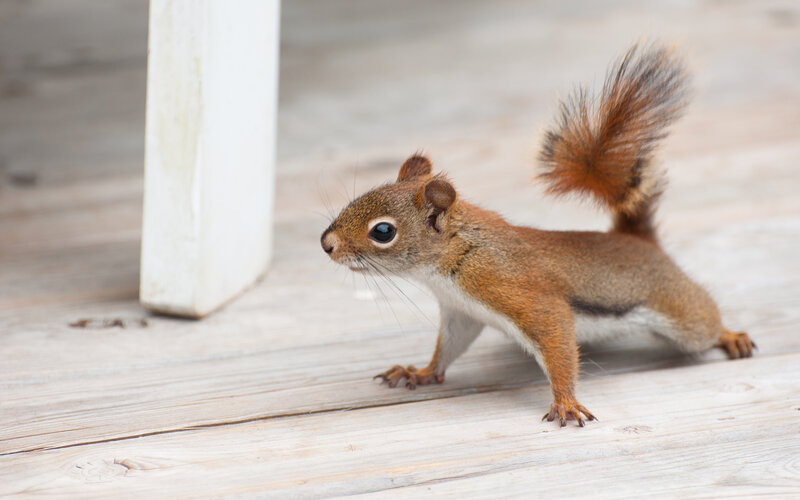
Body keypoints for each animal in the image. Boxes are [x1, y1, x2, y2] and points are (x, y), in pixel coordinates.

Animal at [320, 43, 755, 427]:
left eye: (383, 231)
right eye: (358, 197)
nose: (326, 244)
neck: (452, 257)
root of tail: (638, 239)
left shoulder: (515, 290)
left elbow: (555, 336)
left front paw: (566, 403)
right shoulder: (463, 312)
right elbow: (449, 349)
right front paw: (421, 372)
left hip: (680, 314)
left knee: (703, 322)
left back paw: (731, 336)